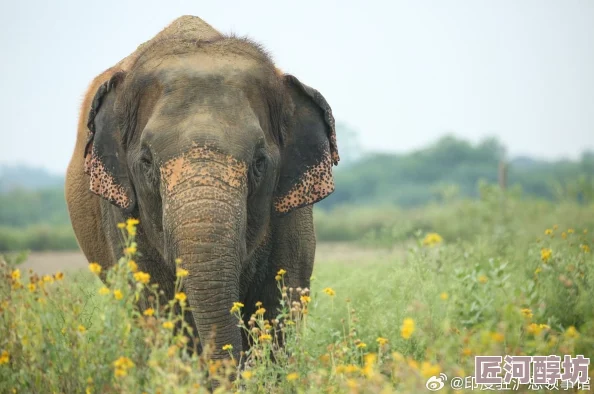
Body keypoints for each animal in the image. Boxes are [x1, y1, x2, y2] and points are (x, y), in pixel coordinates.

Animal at [64, 15, 338, 360]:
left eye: (259, 162)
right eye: (147, 162)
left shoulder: (292, 212)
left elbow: (283, 296)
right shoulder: (123, 212)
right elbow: (154, 301)